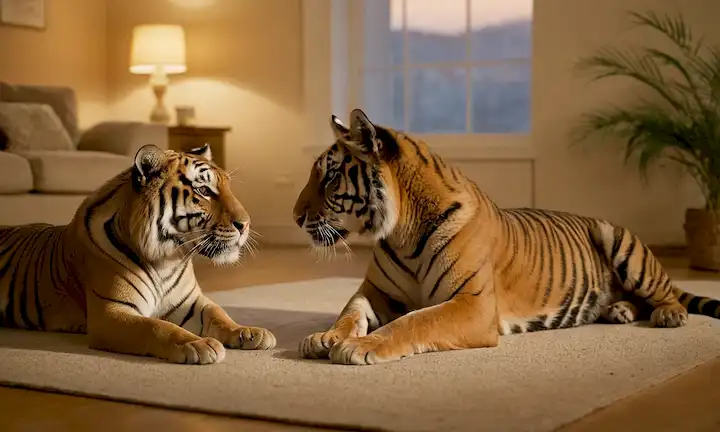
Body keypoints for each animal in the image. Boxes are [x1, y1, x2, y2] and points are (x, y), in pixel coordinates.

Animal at [0, 143, 276, 364]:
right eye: (204, 191)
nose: (246, 224)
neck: (168, 258)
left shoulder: (191, 302)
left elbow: (219, 314)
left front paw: (249, 332)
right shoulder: (110, 313)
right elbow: (156, 326)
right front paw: (197, 344)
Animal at [292, 108, 720, 366]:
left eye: (330, 177)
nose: (295, 217)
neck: (400, 234)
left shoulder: (473, 303)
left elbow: (414, 321)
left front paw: (359, 346)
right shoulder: (376, 292)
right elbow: (350, 312)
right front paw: (325, 337)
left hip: (620, 242)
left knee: (663, 294)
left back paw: (667, 314)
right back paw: (620, 310)